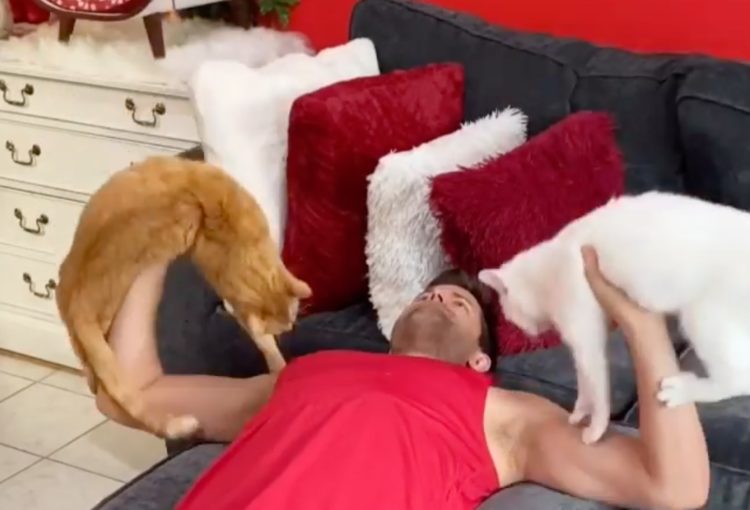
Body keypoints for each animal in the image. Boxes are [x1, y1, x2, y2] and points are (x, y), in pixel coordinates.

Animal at [478, 191, 750, 444]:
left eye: (509, 316)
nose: (526, 332)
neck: (547, 269)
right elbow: (584, 382)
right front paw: (579, 412)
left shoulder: (584, 336)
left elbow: (595, 385)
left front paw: (595, 428)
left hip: (703, 316)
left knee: (739, 378)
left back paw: (682, 390)